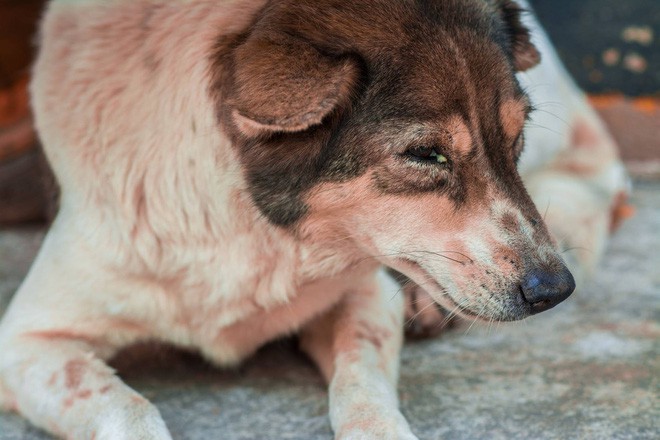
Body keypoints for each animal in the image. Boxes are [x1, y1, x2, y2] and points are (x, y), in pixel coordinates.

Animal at [0, 0, 628, 438]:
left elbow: (362, 386)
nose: (555, 290)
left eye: (515, 135)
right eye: (425, 154)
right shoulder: (24, 341)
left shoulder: (364, 294)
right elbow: (126, 409)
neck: (250, 223)